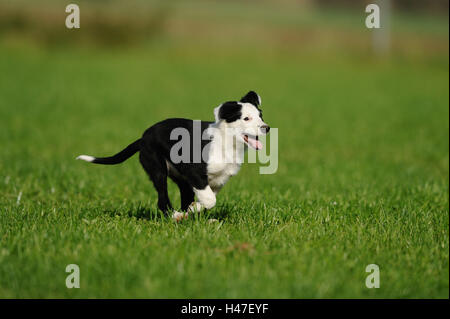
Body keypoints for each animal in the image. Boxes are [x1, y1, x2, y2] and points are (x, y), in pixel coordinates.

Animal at [76, 90, 270, 220]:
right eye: (246, 118)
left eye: (261, 116)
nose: (266, 127)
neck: (226, 142)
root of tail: (143, 138)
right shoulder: (195, 172)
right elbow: (210, 200)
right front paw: (192, 211)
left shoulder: (218, 180)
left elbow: (208, 199)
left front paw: (194, 210)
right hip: (158, 168)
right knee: (162, 200)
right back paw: (175, 216)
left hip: (180, 178)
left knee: (182, 196)